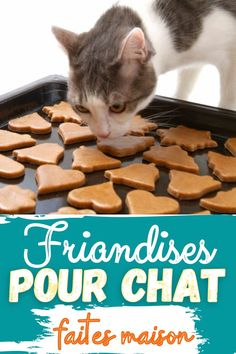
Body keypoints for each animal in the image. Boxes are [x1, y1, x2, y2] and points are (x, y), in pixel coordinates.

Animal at [52, 1, 236, 140]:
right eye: (81, 108)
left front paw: (225, 111)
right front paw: (180, 96)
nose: (102, 134)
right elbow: (186, 81)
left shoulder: (230, 56)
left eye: (117, 107)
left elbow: (227, 97)